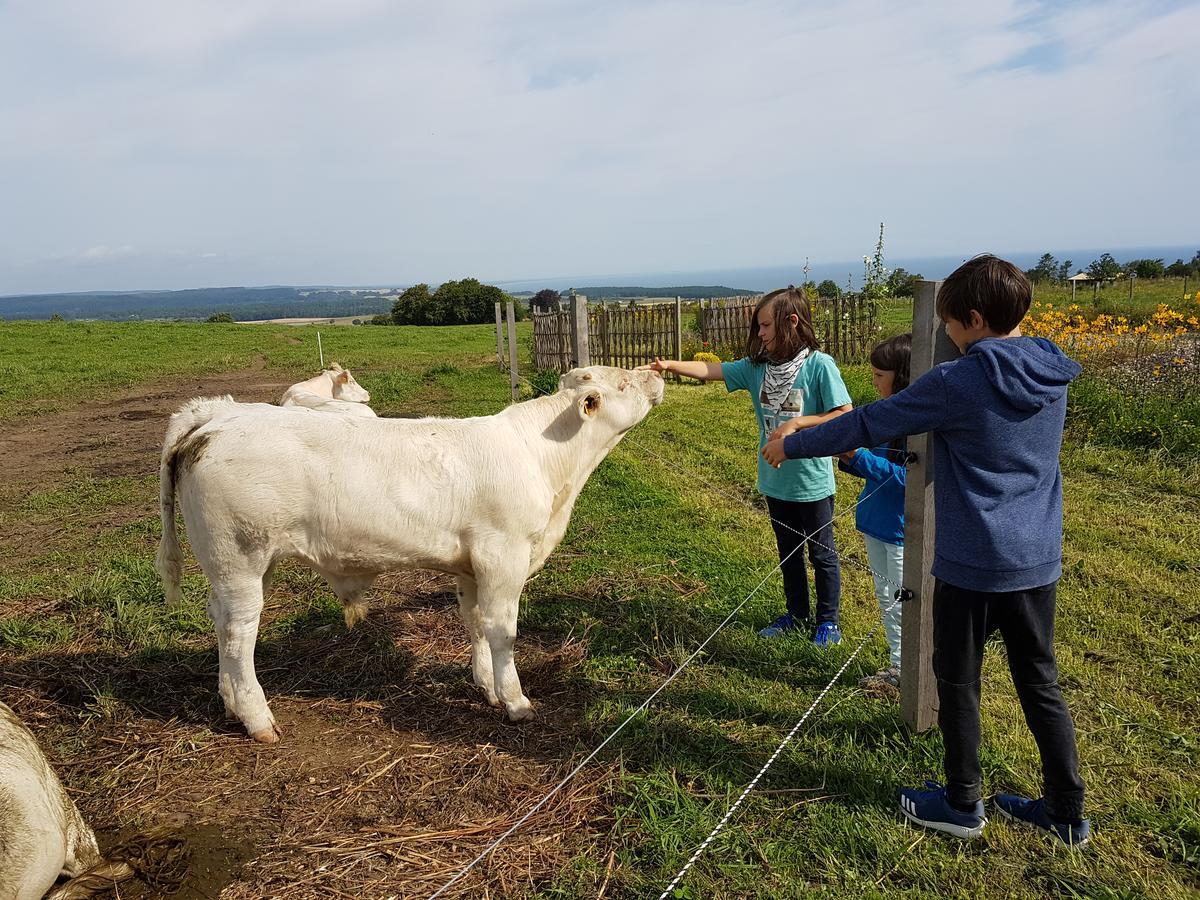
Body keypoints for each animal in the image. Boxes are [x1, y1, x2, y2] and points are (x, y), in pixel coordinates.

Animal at [157, 362, 667, 744]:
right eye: (623, 382)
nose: (657, 370)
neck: (545, 462)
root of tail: (218, 415)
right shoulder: (504, 557)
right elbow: (502, 632)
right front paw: (517, 701)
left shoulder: (471, 566)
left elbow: (475, 625)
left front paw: (487, 688)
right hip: (240, 558)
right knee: (239, 635)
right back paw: (257, 718)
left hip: (241, 567)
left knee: (221, 623)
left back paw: (230, 704)